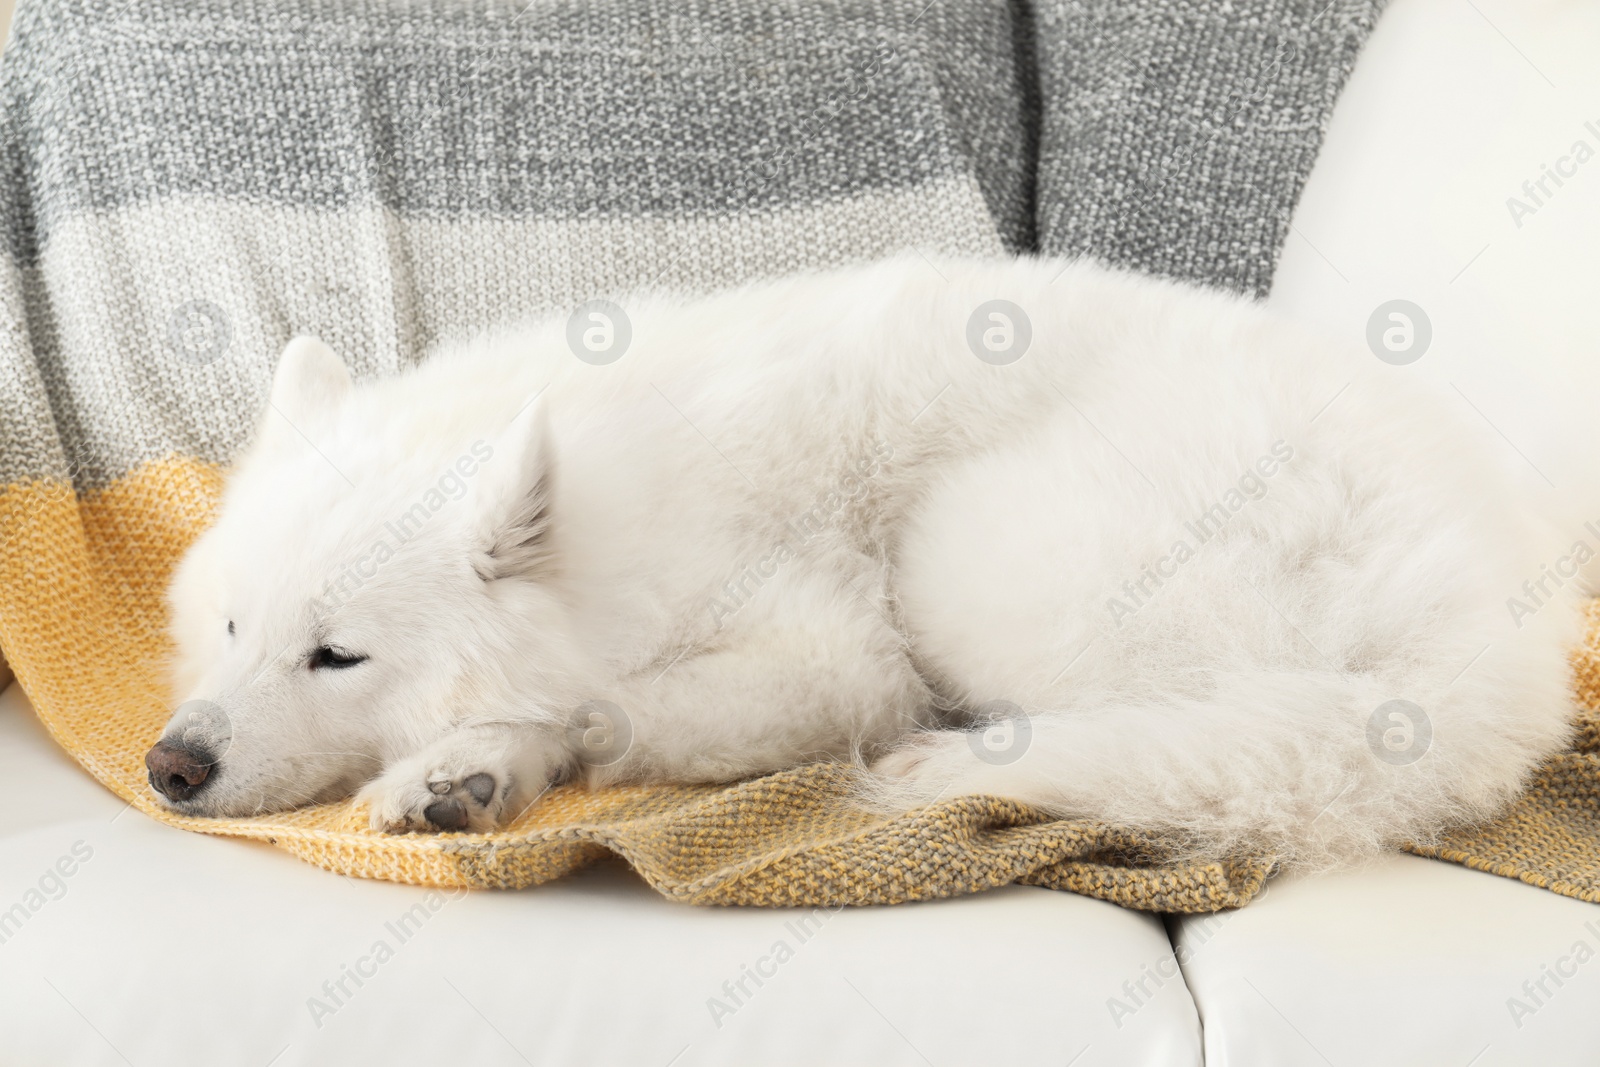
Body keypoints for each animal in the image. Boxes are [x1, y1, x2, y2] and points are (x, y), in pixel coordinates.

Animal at [152, 254, 1587, 870]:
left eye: (337, 654)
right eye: (228, 627)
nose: (169, 766)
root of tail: (1495, 647)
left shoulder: (835, 650)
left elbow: (608, 704)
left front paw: (473, 754)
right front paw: (471, 774)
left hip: (971, 554)